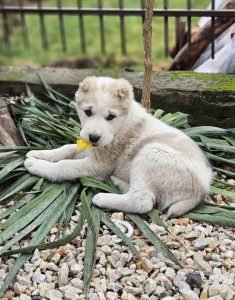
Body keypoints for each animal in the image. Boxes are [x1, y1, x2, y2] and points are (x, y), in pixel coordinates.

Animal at [24, 76, 212, 217]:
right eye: (88, 112)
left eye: (110, 117)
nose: (94, 137)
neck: (121, 126)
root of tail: (202, 190)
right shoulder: (92, 150)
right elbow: (67, 148)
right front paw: (39, 154)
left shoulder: (99, 164)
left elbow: (65, 166)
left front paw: (38, 165)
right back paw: (118, 182)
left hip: (151, 153)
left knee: (142, 201)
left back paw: (103, 197)